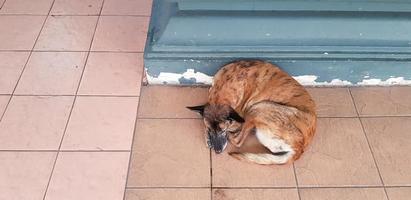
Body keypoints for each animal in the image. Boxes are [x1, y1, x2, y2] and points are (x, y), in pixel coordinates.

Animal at [188, 59, 318, 164]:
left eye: (222, 130)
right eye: (210, 130)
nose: (217, 151)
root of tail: (299, 148)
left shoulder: (239, 118)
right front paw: (207, 136)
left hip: (258, 108)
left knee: (238, 141)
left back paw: (233, 135)